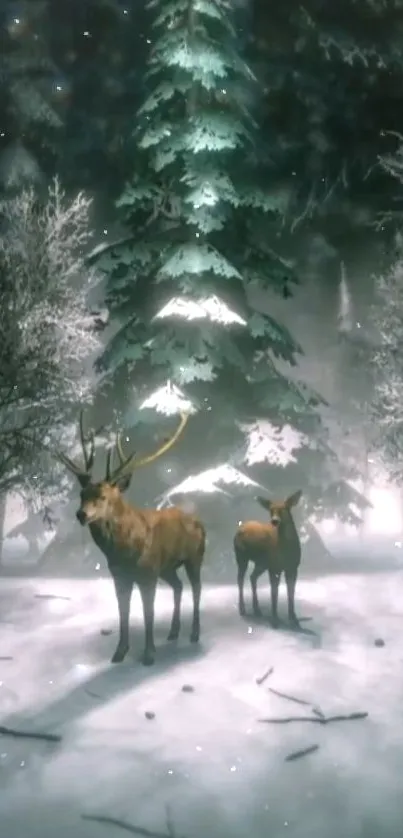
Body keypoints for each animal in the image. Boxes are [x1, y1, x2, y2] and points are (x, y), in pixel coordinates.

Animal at [56, 410, 207, 668]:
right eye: (82, 493)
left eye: (103, 496)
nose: (81, 514)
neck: (123, 550)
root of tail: (200, 521)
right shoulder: (120, 576)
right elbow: (123, 611)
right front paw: (119, 652)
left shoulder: (147, 574)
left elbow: (149, 612)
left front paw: (149, 654)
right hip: (167, 567)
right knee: (178, 586)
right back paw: (173, 632)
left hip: (194, 557)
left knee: (196, 588)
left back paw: (194, 634)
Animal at [234, 492, 304, 632]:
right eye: (271, 510)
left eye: (284, 508)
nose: (275, 521)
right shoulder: (275, 567)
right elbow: (274, 593)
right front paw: (275, 620)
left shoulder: (293, 568)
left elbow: (291, 592)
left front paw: (294, 620)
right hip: (241, 556)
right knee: (240, 579)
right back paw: (243, 609)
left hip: (261, 563)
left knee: (252, 577)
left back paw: (257, 610)